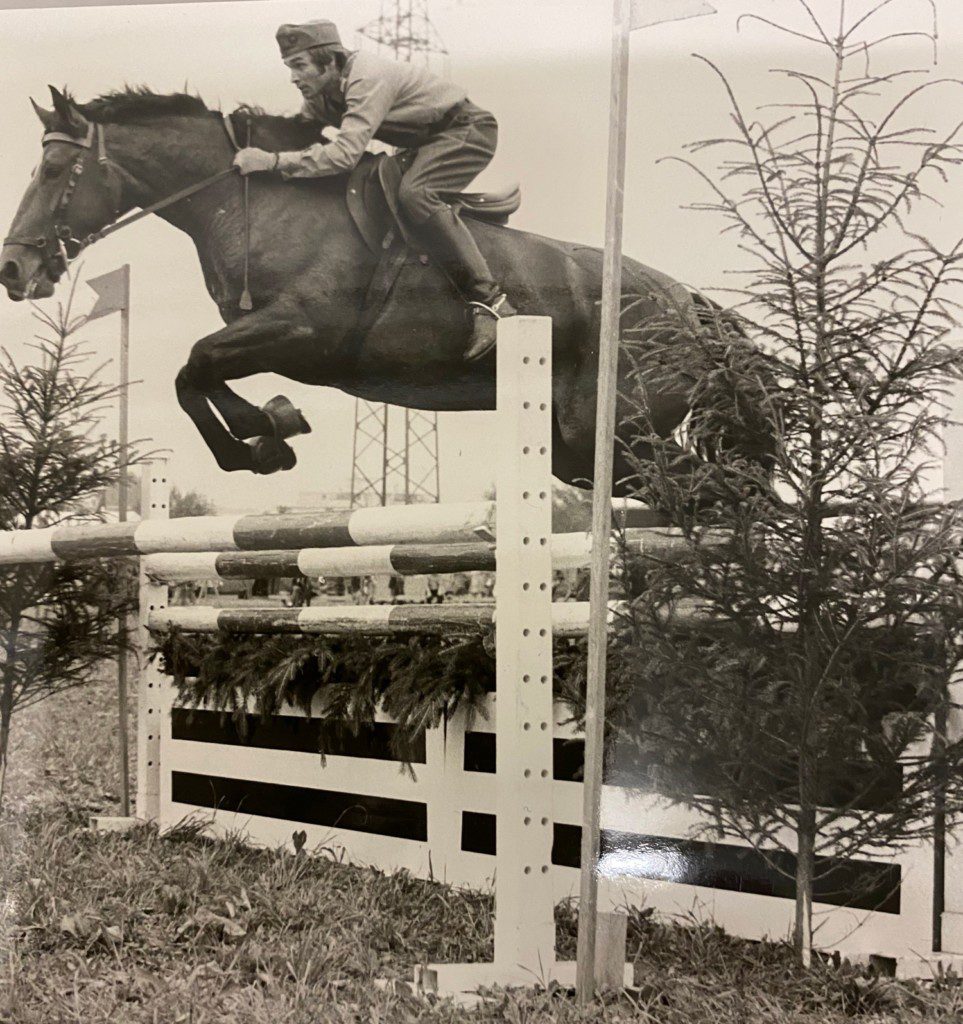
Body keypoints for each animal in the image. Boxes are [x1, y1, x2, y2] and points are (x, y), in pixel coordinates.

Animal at [0, 86, 766, 493]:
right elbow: (196, 373)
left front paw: (264, 432)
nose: (12, 270)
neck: (253, 200)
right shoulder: (269, 339)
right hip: (585, 453)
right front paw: (268, 433)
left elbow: (194, 365)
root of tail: (694, 308)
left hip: (613, 435)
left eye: (52, 172)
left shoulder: (303, 333)